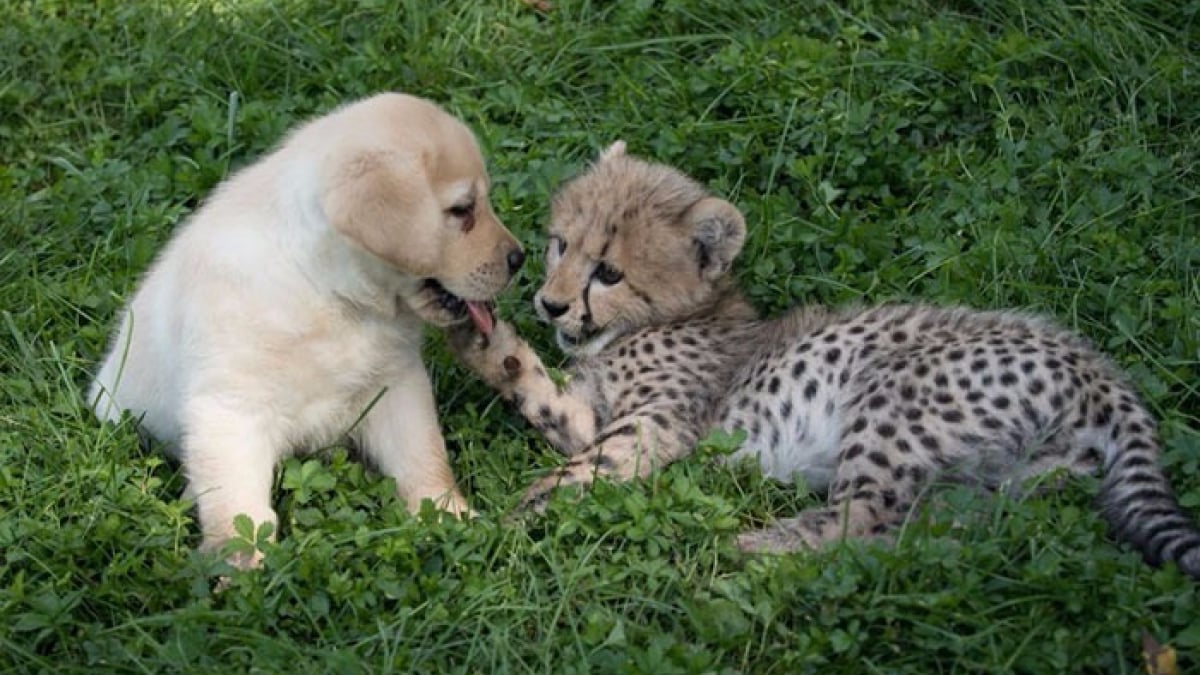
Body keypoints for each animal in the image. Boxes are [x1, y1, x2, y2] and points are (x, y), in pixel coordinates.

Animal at [88, 91, 520, 559]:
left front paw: (448, 515)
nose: (519, 258)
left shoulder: (396, 384)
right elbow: (237, 508)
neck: (326, 291)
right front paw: (242, 566)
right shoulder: (229, 409)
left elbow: (422, 456)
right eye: (462, 210)